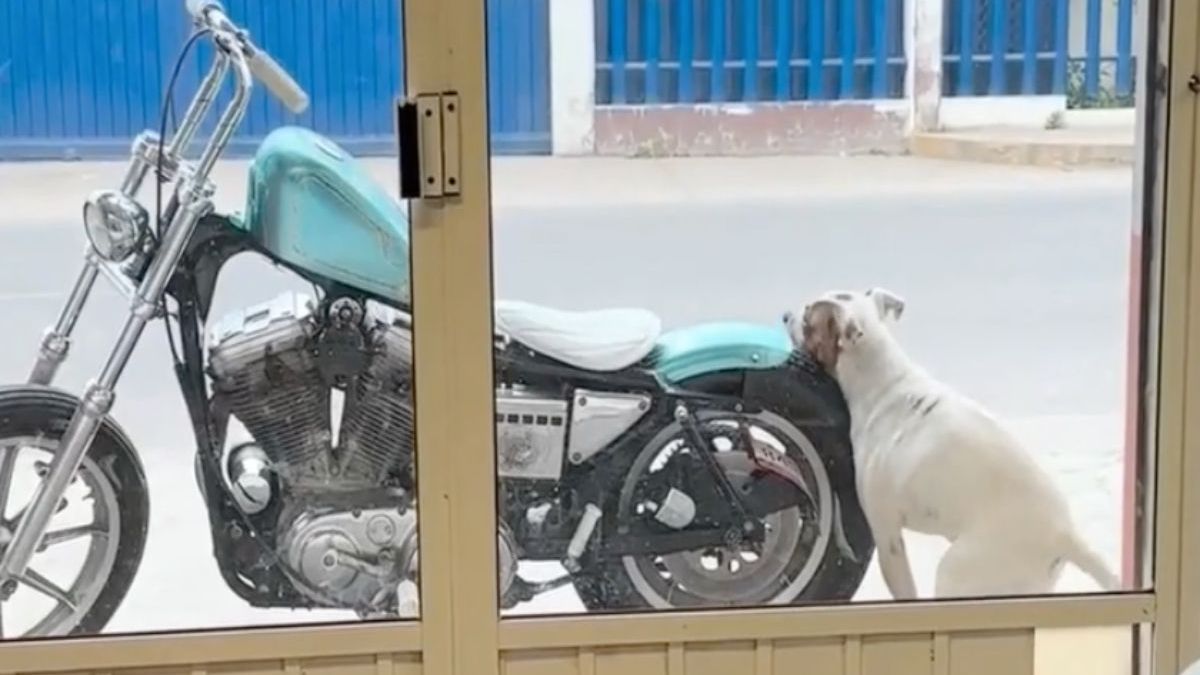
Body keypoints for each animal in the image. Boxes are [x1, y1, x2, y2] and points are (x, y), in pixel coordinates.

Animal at [782, 285, 1118, 595]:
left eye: (808, 317)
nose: (785, 315)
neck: (883, 380)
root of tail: (1065, 535)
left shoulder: (887, 535)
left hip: (958, 570)